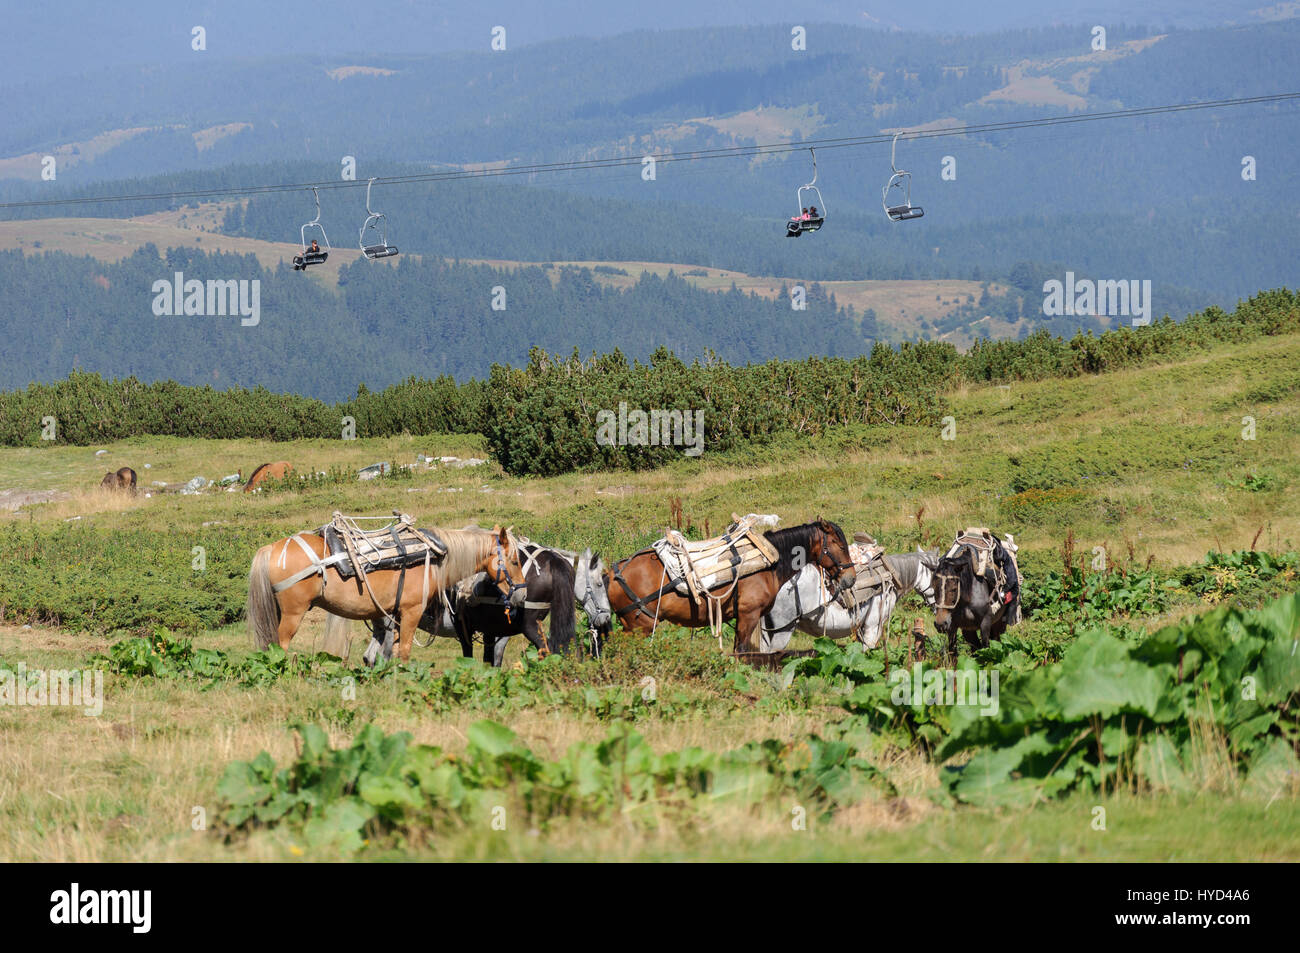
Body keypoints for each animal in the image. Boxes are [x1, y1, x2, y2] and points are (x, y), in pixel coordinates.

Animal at [245, 520, 525, 660]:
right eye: (514, 560)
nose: (522, 593)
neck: (434, 557)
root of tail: (272, 547)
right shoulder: (411, 612)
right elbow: (405, 652)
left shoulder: (395, 616)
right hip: (293, 613)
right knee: (280, 645)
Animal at [605, 512, 857, 655]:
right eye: (840, 545)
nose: (851, 578)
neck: (770, 560)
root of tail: (611, 574)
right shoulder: (748, 615)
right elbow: (741, 652)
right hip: (640, 627)